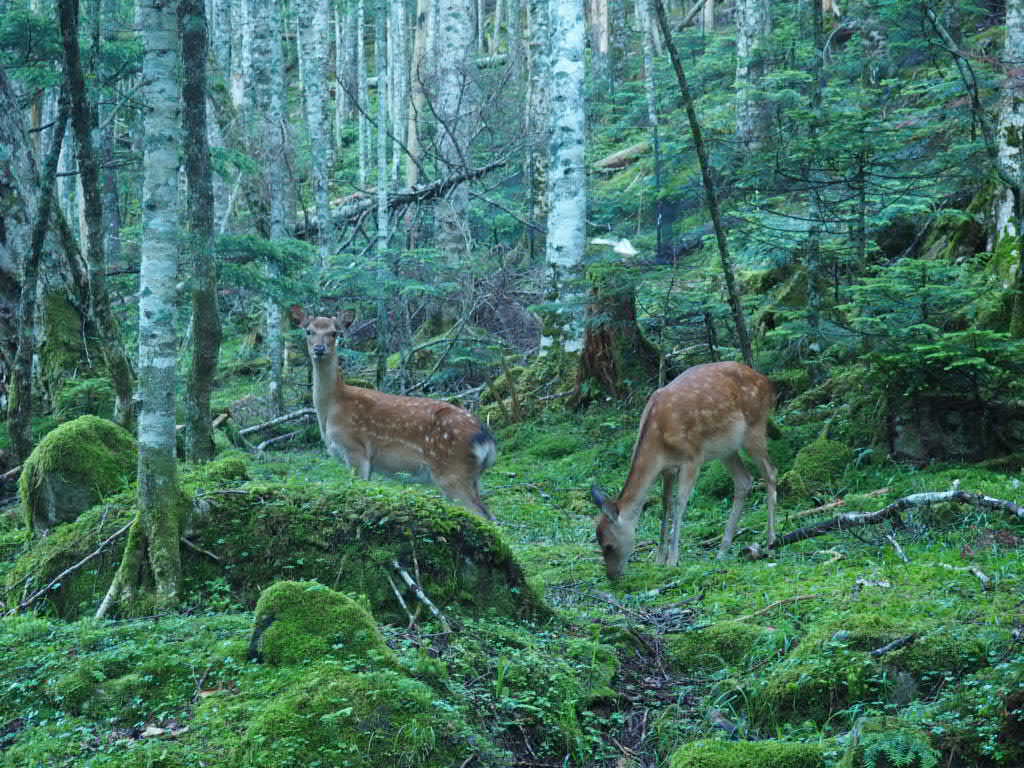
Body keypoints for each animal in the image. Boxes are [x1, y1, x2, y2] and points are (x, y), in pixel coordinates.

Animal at [292, 309, 499, 524]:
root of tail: (486, 439)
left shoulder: (355, 449)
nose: (319, 349)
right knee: (491, 515)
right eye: (308, 331)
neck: (332, 407)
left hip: (452, 470)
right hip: (473, 476)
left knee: (481, 514)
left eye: (334, 333)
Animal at [593, 364, 774, 581]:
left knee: (771, 472)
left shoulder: (692, 458)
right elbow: (665, 504)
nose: (612, 576)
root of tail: (766, 380)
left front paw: (672, 560)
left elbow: (680, 504)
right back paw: (722, 551)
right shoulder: (667, 468)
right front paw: (659, 559)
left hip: (755, 427)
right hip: (727, 449)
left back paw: (771, 541)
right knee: (744, 480)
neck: (659, 442)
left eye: (608, 545)